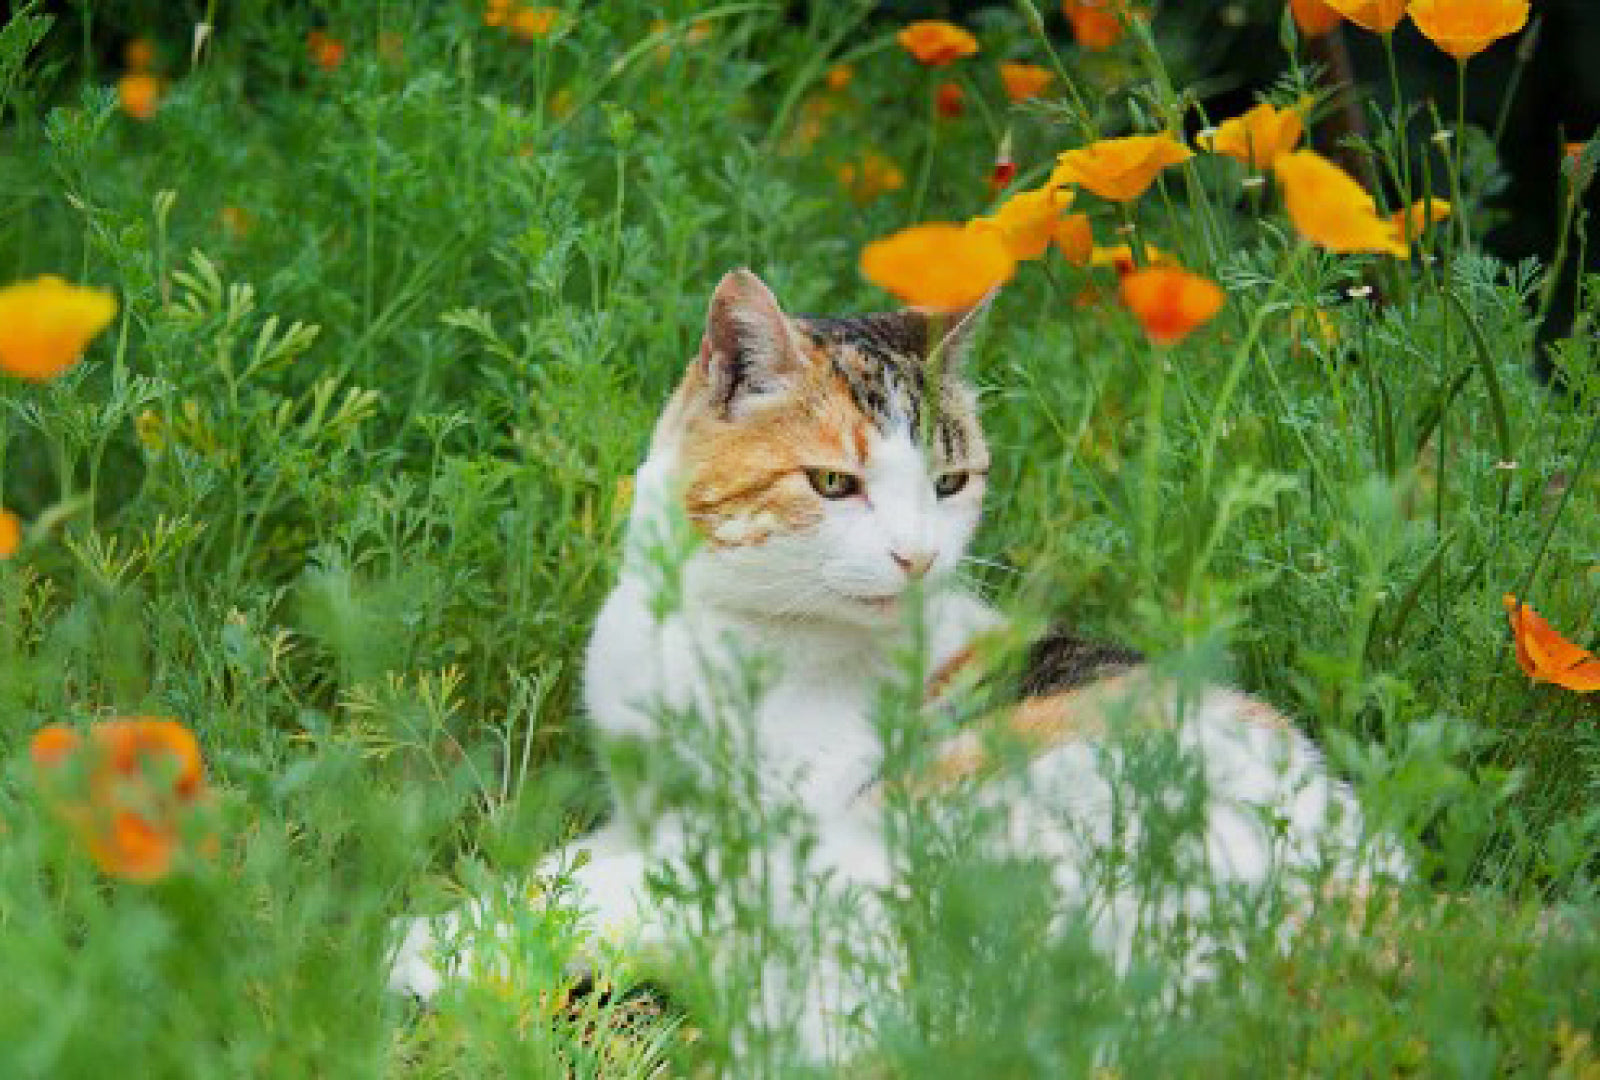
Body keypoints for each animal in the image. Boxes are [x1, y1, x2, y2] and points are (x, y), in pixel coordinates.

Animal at [389, 268, 1403, 1063]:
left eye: (950, 484)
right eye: (833, 483)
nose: (918, 556)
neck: (716, 629)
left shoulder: (741, 832)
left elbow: (583, 886)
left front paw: (435, 933)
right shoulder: (644, 808)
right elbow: (565, 860)